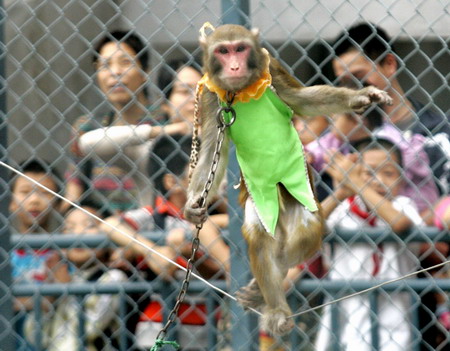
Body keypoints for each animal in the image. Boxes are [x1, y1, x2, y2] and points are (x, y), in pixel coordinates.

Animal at [185, 23, 392, 336]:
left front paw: (358, 97)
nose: (234, 65)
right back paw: (275, 303)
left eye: (240, 48)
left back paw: (277, 274)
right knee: (260, 236)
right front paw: (193, 205)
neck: (239, 92)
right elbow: (211, 149)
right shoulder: (211, 95)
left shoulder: (272, 68)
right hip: (261, 203)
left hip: (302, 198)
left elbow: (302, 100)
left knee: (303, 234)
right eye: (223, 51)